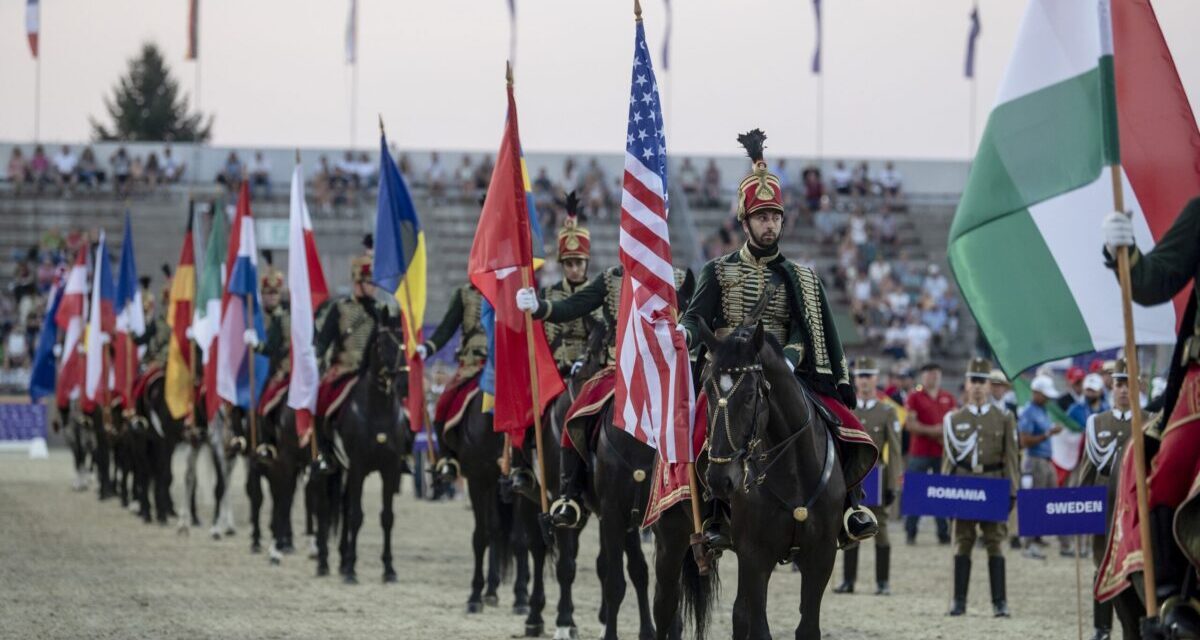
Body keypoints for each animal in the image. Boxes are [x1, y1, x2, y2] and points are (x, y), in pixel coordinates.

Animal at [309, 312, 412, 581]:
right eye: (382, 343)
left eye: (404, 341)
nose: (404, 382)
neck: (378, 411)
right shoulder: (358, 467)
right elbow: (356, 516)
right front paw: (351, 571)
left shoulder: (389, 469)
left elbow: (386, 517)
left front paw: (388, 569)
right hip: (327, 469)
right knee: (324, 508)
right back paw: (324, 562)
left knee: (344, 507)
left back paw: (343, 558)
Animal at [696, 321, 844, 638]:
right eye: (707, 391)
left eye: (750, 396)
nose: (720, 480)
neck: (794, 471)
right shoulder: (755, 555)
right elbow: (759, 627)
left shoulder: (821, 556)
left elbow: (808, 627)